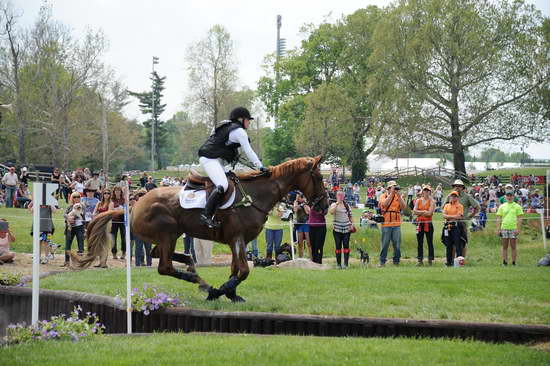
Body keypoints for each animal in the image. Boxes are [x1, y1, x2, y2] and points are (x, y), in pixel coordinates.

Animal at [76, 156, 330, 302]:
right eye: (318, 177)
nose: (324, 206)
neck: (254, 196)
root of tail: (134, 205)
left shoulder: (236, 241)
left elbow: (235, 269)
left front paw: (232, 294)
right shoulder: (237, 238)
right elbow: (243, 271)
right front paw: (220, 291)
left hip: (169, 235)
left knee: (162, 255)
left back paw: (193, 268)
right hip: (168, 233)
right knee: (164, 266)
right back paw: (202, 283)